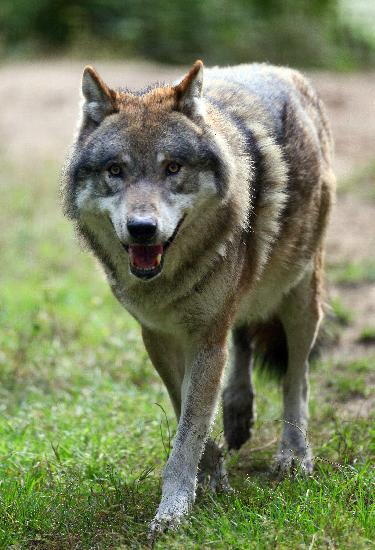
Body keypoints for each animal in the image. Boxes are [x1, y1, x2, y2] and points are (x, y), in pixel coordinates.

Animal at [61, 59, 334, 536]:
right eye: (115, 170)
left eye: (172, 168)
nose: (142, 229)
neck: (167, 282)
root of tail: (284, 71)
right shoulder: (159, 336)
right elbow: (186, 414)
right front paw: (210, 476)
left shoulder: (206, 337)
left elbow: (187, 432)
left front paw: (173, 511)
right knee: (244, 338)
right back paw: (237, 412)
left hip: (300, 296)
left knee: (295, 378)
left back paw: (294, 455)